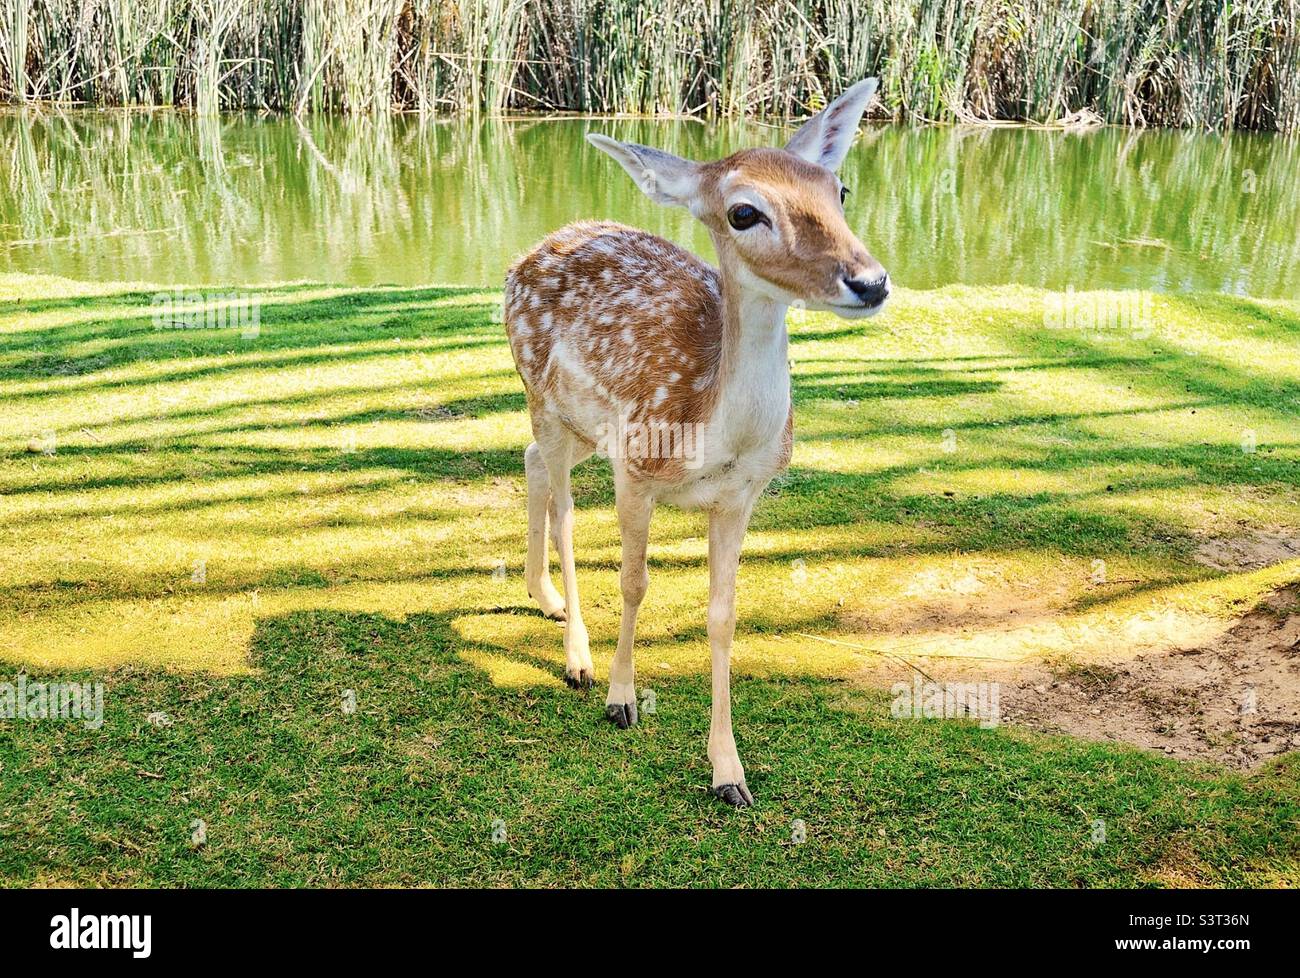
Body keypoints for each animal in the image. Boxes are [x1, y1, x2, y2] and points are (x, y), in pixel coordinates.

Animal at [504, 78, 889, 806]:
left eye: (841, 190)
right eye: (744, 212)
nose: (871, 280)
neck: (711, 433)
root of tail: (529, 251)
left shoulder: (742, 495)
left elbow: (723, 615)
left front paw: (729, 772)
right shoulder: (636, 467)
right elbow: (633, 583)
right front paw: (622, 699)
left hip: (579, 425)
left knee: (533, 459)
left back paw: (546, 598)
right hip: (542, 394)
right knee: (564, 508)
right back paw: (577, 656)